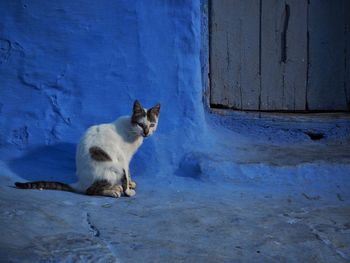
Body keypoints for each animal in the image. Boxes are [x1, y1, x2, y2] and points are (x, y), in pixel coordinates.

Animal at [14, 100, 160, 199]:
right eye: (140, 124)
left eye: (152, 125)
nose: (146, 132)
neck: (132, 131)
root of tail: (80, 183)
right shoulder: (123, 158)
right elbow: (126, 174)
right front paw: (128, 190)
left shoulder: (128, 159)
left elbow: (128, 173)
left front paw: (131, 183)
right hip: (113, 167)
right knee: (90, 191)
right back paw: (113, 190)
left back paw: (115, 187)